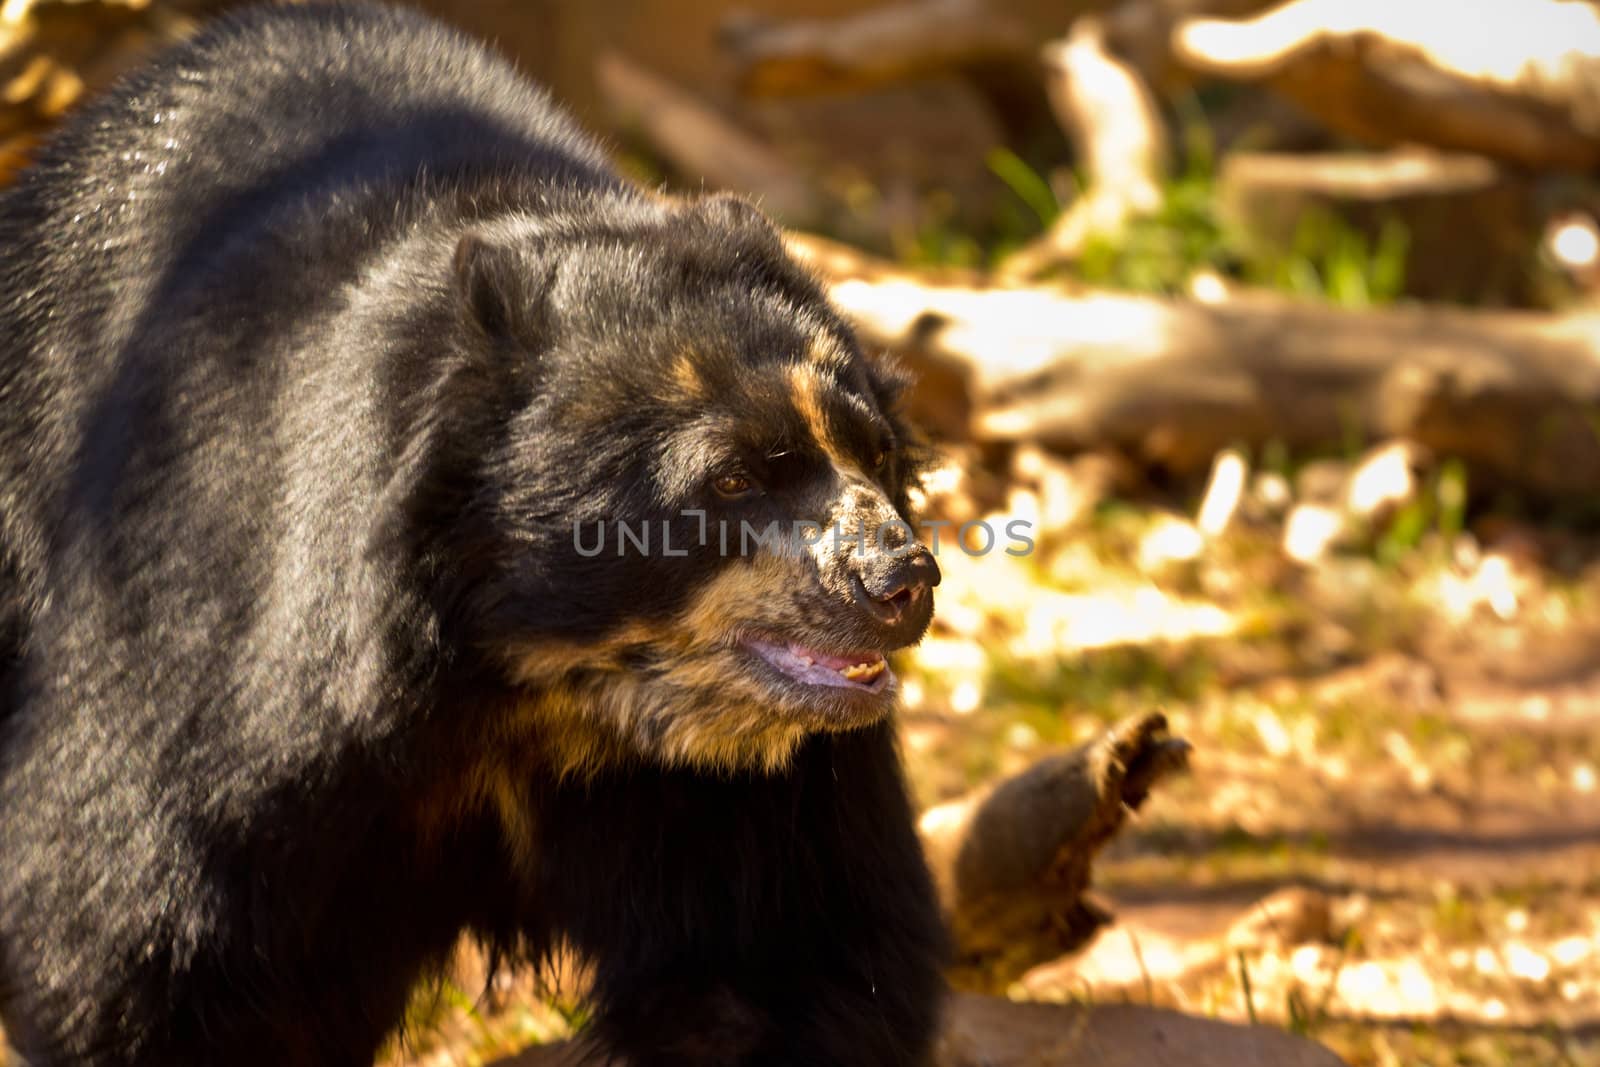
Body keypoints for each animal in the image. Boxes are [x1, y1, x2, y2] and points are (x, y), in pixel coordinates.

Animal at [0, 4, 947, 1062]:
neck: (535, 688)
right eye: (735, 478)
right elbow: (143, 950)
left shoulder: (745, 790)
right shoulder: (223, 655)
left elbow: (788, 951)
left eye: (873, 453)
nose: (903, 582)